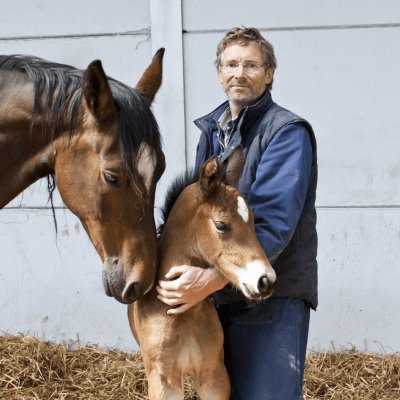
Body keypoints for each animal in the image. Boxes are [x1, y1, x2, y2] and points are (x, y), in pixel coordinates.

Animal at [130, 148, 276, 398]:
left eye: (253, 220)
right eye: (220, 224)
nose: (265, 280)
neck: (185, 315)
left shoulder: (213, 376)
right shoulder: (164, 382)